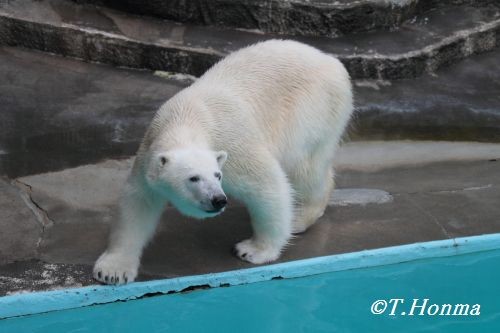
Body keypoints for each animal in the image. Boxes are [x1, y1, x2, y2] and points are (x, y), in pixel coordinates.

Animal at [93, 39, 352, 282]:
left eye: (217, 175)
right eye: (193, 178)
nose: (218, 199)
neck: (185, 119)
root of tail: (331, 61)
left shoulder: (234, 147)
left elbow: (267, 184)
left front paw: (253, 250)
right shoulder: (149, 153)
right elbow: (137, 204)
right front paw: (112, 271)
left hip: (312, 108)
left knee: (305, 168)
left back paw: (299, 218)